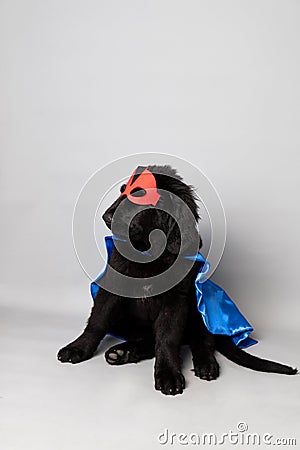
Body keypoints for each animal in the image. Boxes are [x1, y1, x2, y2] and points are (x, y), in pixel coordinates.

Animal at [57, 164, 296, 394]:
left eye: (140, 194)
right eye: (122, 191)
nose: (106, 216)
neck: (149, 251)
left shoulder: (176, 301)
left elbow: (168, 338)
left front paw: (168, 374)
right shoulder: (113, 287)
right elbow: (97, 320)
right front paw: (78, 348)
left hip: (200, 304)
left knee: (201, 339)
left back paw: (205, 364)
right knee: (149, 339)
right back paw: (124, 351)